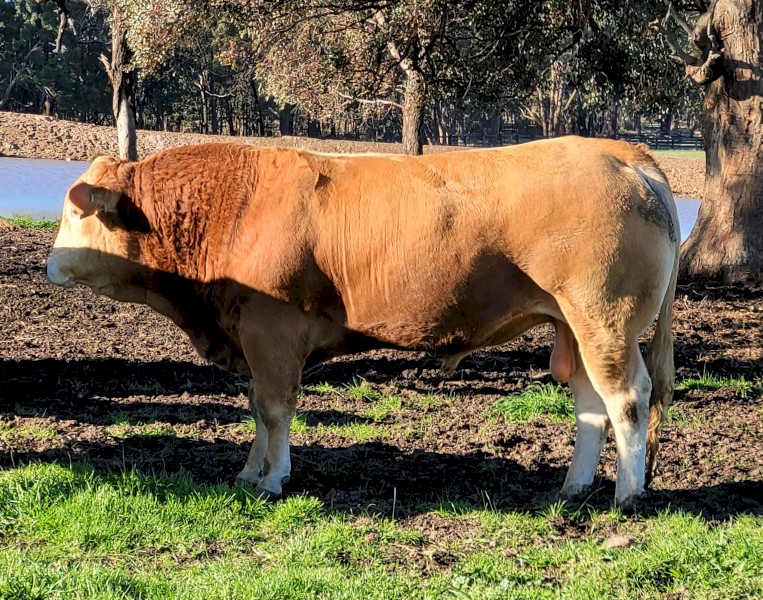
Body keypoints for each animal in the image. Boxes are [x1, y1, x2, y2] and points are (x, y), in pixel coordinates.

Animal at [46, 137, 679, 509]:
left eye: (76, 210)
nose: (50, 264)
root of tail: (624, 153)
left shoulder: (271, 330)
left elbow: (274, 408)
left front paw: (272, 478)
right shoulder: (249, 336)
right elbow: (256, 407)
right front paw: (250, 471)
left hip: (605, 318)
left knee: (628, 398)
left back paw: (627, 495)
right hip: (574, 325)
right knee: (589, 402)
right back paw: (573, 487)